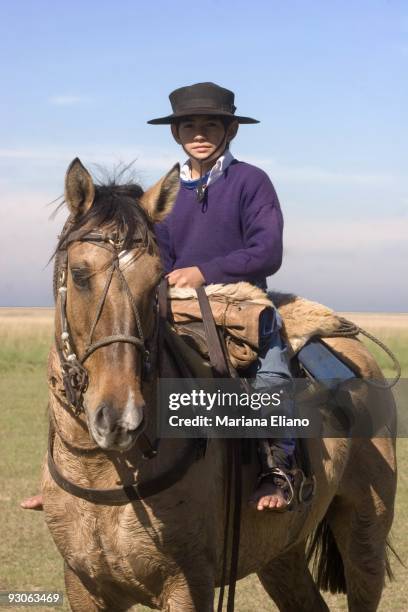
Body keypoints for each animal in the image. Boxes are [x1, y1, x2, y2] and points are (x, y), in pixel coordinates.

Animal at [41, 159, 396, 612]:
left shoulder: (189, 583)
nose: (120, 417)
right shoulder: (84, 585)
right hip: (281, 553)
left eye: (155, 282)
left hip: (365, 532)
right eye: (80, 275)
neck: (106, 471)